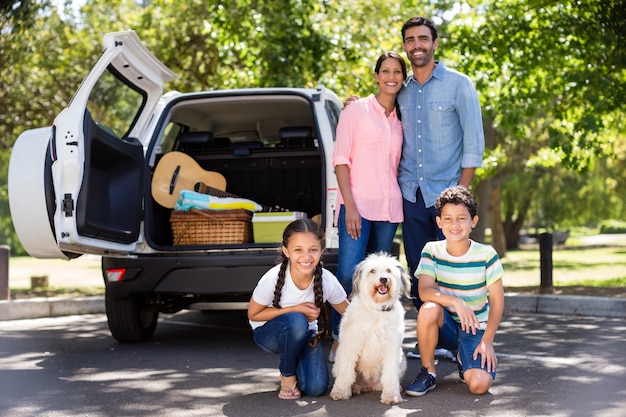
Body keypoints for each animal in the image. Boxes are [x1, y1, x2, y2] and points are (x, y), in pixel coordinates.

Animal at [330, 250, 412, 404]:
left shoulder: (391, 349)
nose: (383, 279)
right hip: (338, 360)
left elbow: (390, 376)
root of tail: (368, 386)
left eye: (388, 270)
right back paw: (354, 388)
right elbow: (346, 373)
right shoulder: (351, 347)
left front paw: (391, 395)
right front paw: (340, 392)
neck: (377, 309)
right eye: (372, 271)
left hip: (402, 360)